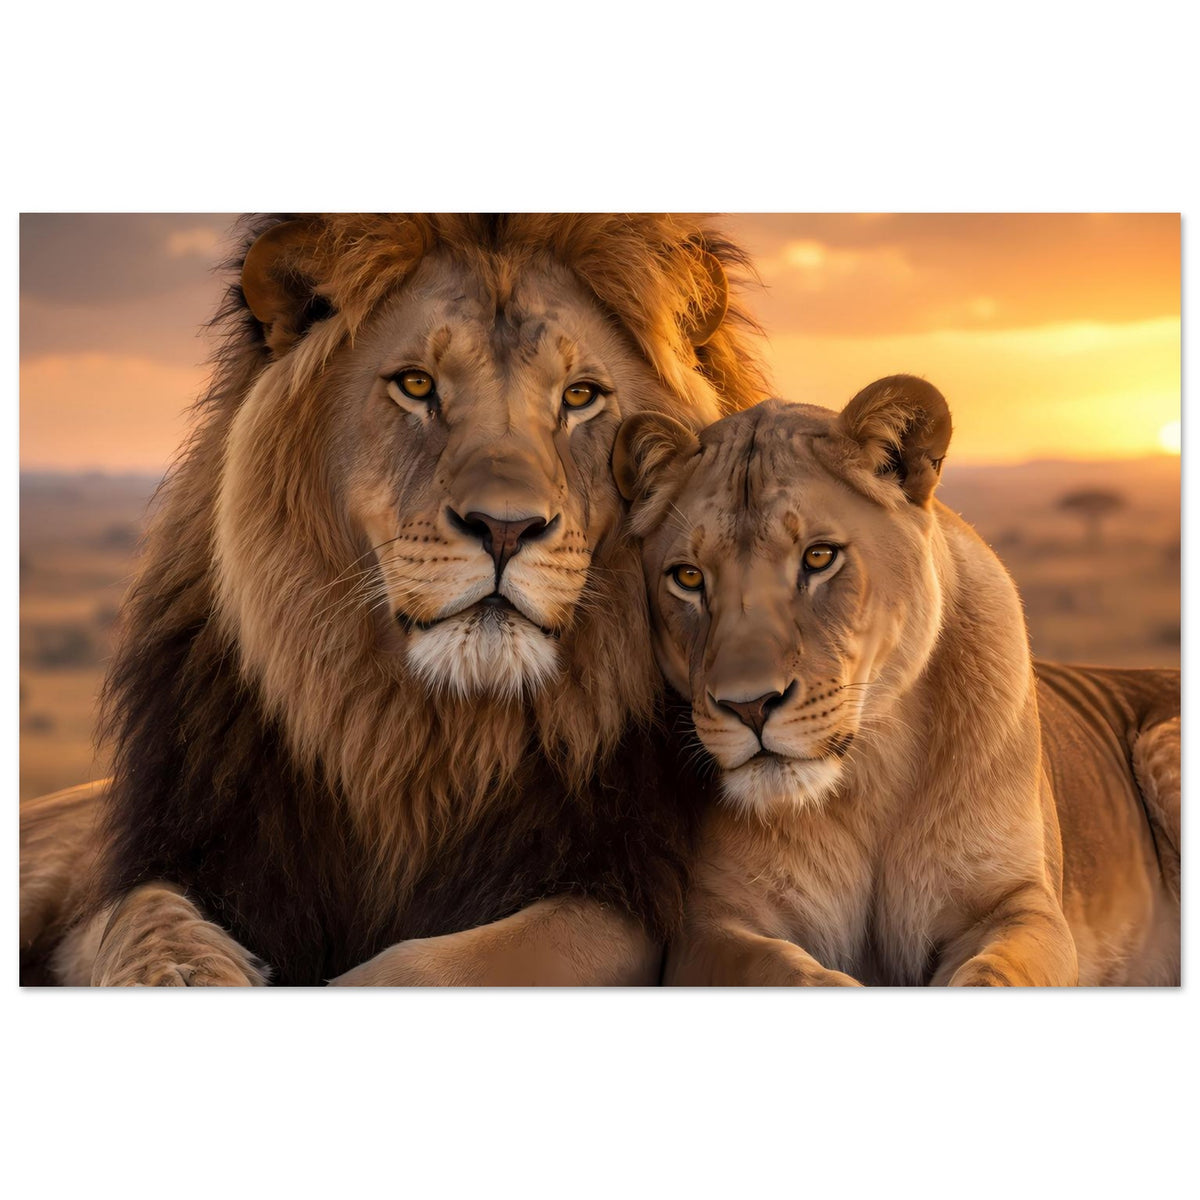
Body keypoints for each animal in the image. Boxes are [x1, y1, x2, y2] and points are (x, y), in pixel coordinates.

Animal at [19, 213, 768, 986]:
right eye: (416, 385)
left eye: (581, 396)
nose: (505, 527)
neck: (424, 744)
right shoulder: (176, 856)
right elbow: (140, 919)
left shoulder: (619, 897)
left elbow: (425, 966)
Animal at [613, 377, 1180, 986]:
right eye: (688, 577)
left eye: (819, 557)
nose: (749, 706)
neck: (870, 777)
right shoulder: (711, 927)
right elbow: (792, 973)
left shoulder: (1019, 904)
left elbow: (994, 974)